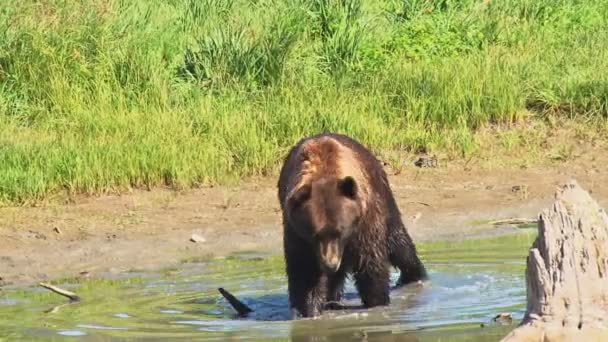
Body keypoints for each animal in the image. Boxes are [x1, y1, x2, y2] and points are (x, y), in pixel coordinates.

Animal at [276, 133, 428, 318]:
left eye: (340, 231)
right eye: (315, 235)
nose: (330, 264)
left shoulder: (364, 222)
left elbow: (370, 260)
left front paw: (377, 303)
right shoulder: (297, 232)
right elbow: (305, 270)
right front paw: (308, 310)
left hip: (383, 195)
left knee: (398, 241)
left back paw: (414, 276)